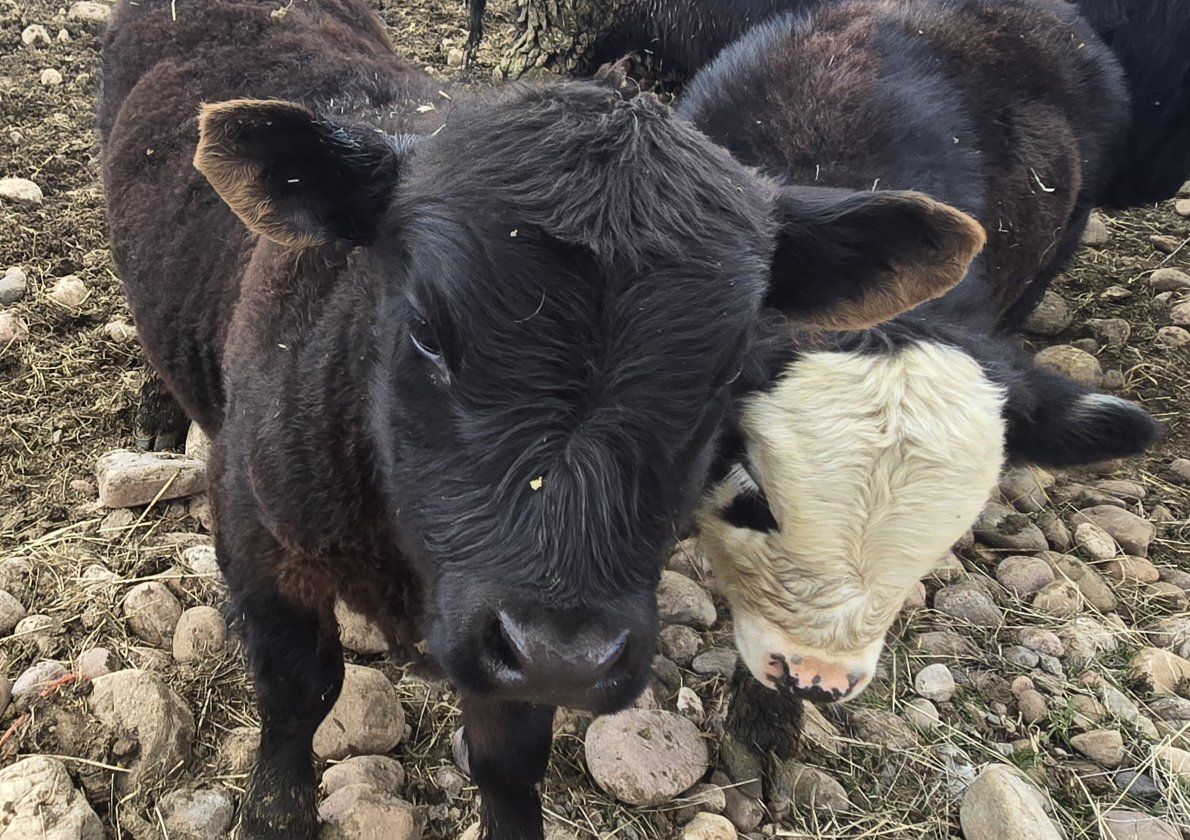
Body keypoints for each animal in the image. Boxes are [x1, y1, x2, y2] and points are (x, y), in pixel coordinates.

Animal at [98, 1, 987, 836]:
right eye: (426, 330)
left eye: (730, 369)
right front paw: (275, 813)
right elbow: (298, 693)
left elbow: (509, 756)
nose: (565, 655)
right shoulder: (255, 535)